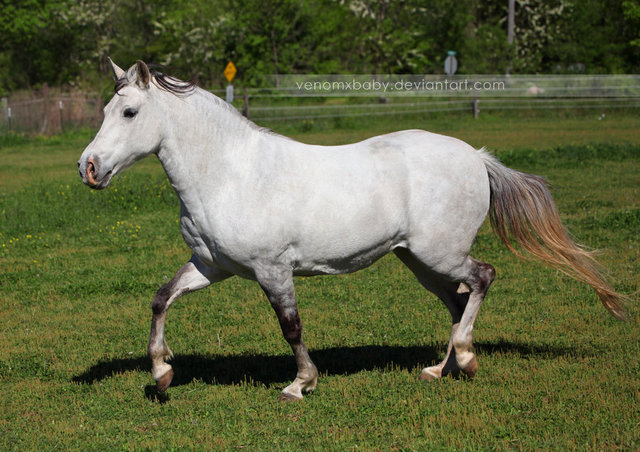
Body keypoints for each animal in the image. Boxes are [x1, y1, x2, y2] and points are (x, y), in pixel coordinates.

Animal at [78, 59, 627, 401]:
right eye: (105, 111)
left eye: (129, 112)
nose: (89, 168)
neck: (232, 174)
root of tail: (476, 156)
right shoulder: (212, 266)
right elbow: (161, 299)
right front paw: (162, 373)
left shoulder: (273, 270)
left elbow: (291, 328)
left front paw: (300, 385)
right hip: (419, 261)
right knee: (457, 300)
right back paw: (440, 370)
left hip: (440, 252)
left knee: (484, 278)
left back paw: (467, 360)